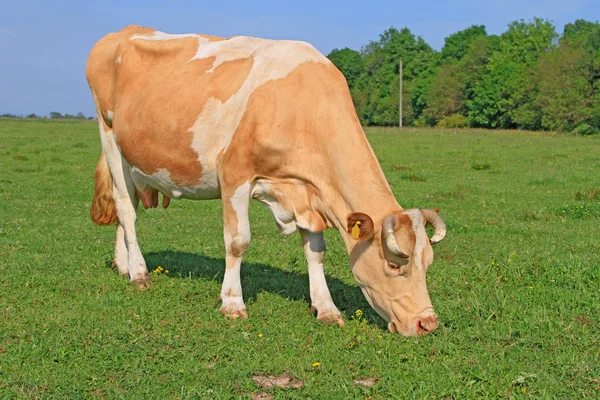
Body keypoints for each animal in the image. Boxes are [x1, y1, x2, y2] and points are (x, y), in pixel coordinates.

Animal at [86, 25, 448, 336]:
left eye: (428, 264)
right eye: (394, 265)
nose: (427, 324)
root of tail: (123, 33)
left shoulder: (308, 192)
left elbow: (315, 251)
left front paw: (326, 308)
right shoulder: (234, 173)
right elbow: (238, 241)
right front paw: (232, 303)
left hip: (133, 157)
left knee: (126, 207)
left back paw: (123, 265)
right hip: (110, 137)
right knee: (126, 210)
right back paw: (139, 273)